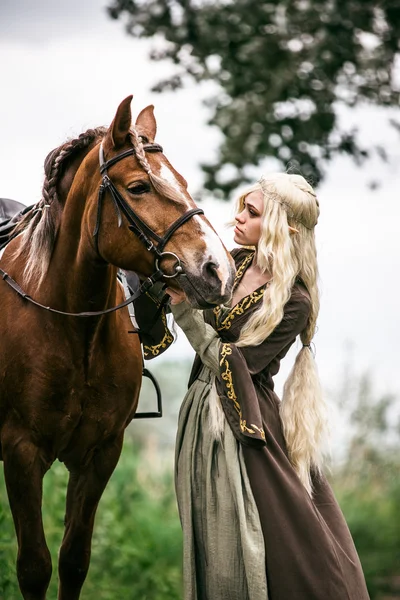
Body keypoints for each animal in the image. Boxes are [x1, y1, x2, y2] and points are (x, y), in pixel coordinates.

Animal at [0, 97, 234, 600]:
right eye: (139, 186)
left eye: (183, 182)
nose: (217, 270)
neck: (72, 330)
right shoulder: (21, 451)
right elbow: (34, 567)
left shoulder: (100, 454)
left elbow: (73, 561)